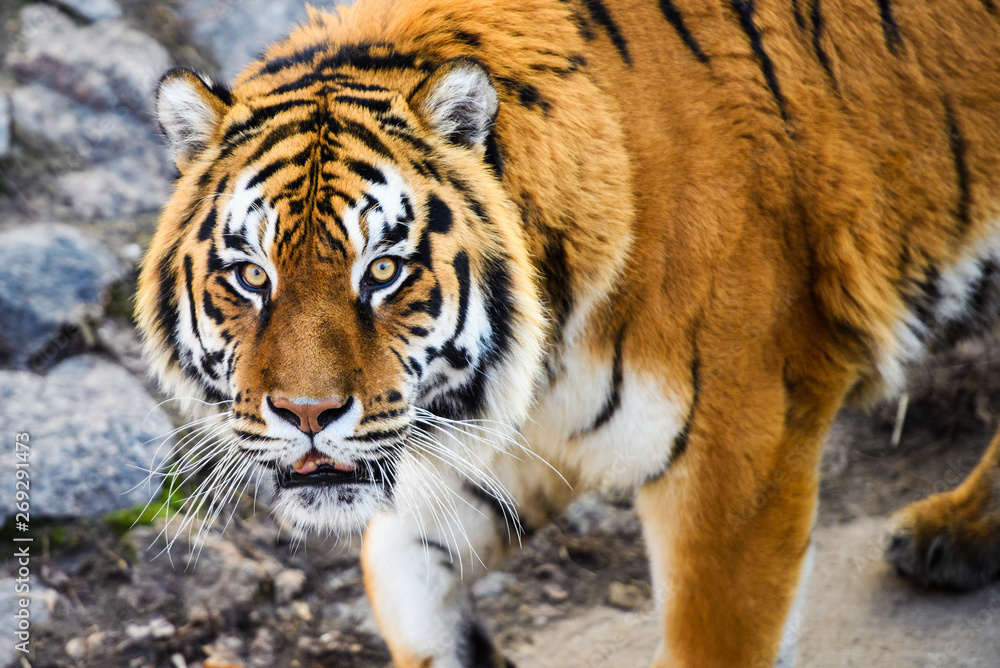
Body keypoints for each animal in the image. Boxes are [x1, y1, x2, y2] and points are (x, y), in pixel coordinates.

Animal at [135, 0, 1000, 665]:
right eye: (252, 276)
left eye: (381, 270)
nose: (307, 415)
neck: (540, 354)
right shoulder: (505, 441)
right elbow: (397, 563)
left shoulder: (738, 457)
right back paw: (958, 537)